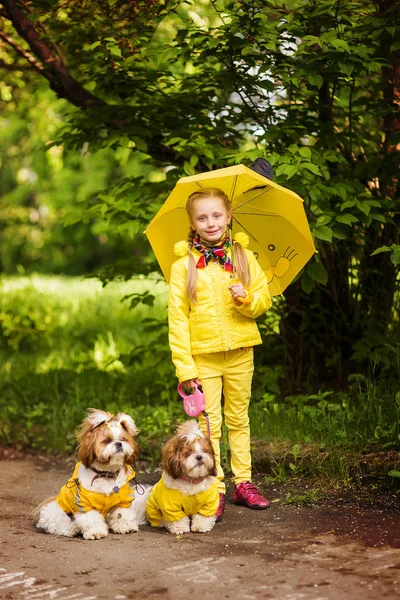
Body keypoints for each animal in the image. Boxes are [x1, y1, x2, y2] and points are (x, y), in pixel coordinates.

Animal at [34, 408, 148, 540]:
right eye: (107, 441)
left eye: (123, 439)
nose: (119, 444)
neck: (106, 474)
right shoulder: (84, 504)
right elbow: (91, 518)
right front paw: (96, 532)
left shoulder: (122, 500)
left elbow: (121, 514)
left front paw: (126, 527)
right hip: (55, 511)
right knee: (59, 524)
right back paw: (73, 529)